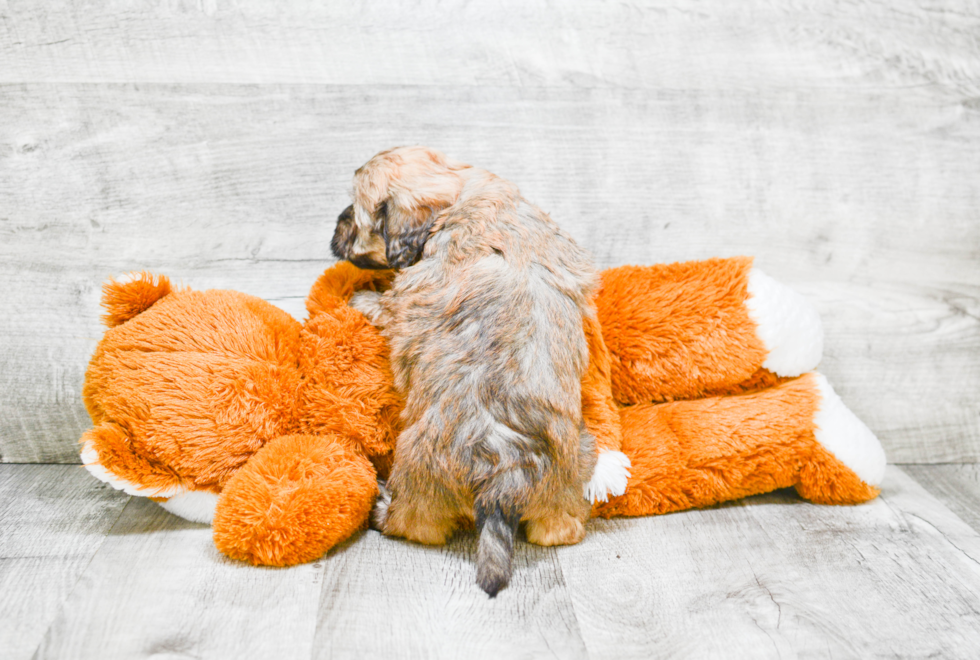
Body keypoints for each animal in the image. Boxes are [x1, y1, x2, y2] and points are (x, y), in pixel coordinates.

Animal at [332, 147, 596, 596]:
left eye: (357, 213)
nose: (336, 221)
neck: (459, 197)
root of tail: (504, 479)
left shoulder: (404, 300)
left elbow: (386, 306)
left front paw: (362, 298)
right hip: (574, 468)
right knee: (562, 528)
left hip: (418, 477)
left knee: (412, 523)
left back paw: (383, 508)